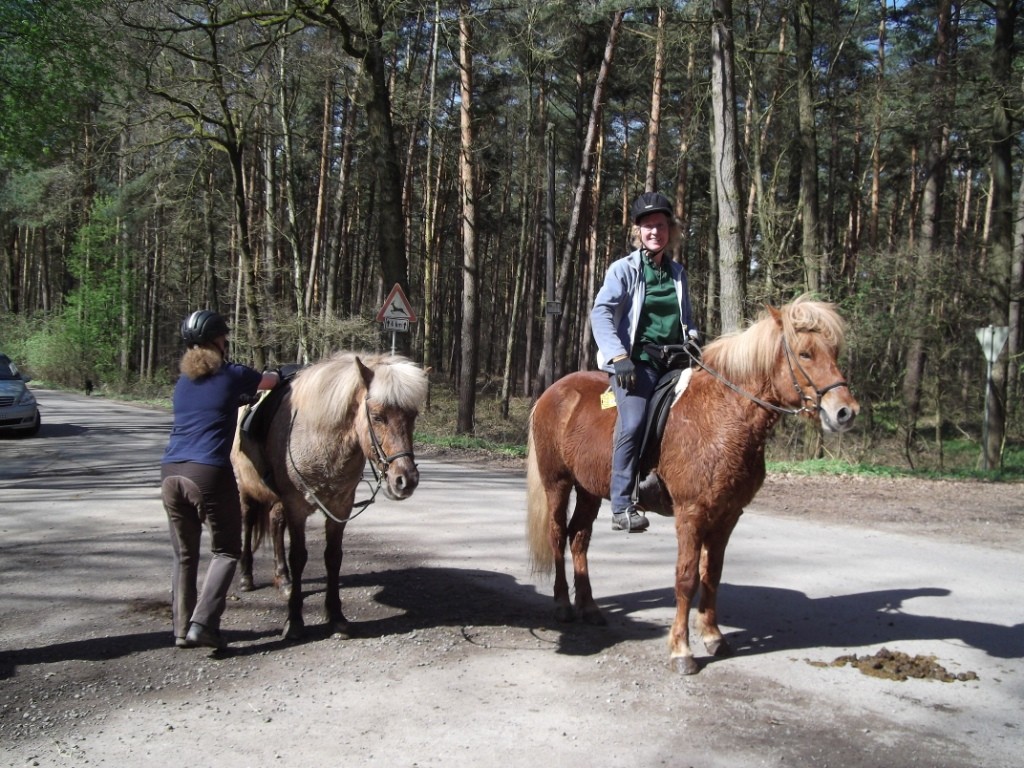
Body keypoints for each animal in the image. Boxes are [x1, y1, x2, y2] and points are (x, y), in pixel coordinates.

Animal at [232, 352, 428, 638]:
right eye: (377, 417)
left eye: (413, 416)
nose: (406, 480)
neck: (319, 439)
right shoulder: (296, 507)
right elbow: (299, 556)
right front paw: (294, 620)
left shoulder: (340, 508)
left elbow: (333, 557)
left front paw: (336, 616)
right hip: (247, 488)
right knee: (247, 522)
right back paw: (247, 576)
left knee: (276, 525)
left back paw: (284, 579)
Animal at [528, 296, 856, 675]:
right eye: (805, 353)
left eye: (834, 351)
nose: (845, 412)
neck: (724, 415)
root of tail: (553, 392)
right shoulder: (691, 513)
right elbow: (686, 578)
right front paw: (681, 650)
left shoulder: (728, 515)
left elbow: (711, 574)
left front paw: (713, 636)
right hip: (557, 483)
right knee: (556, 535)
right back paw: (563, 605)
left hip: (589, 490)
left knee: (579, 538)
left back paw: (589, 607)